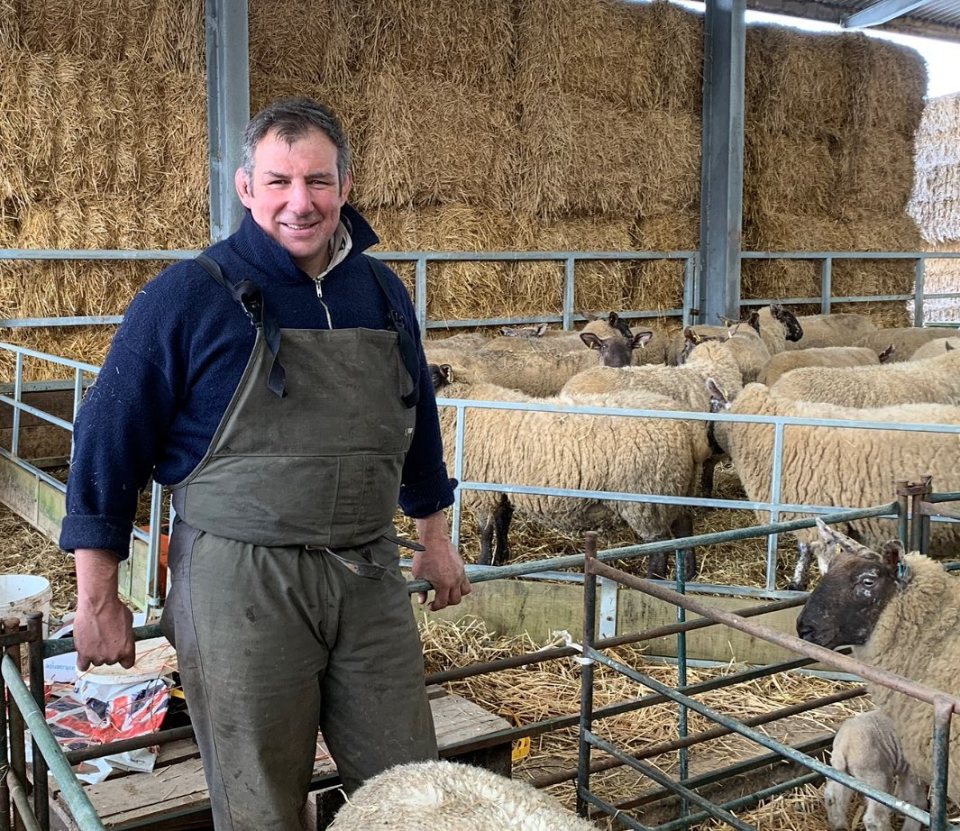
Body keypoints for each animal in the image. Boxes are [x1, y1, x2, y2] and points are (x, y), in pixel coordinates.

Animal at [704, 384, 960, 592]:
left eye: (712, 407)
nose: (707, 445)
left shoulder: (820, 513)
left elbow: (822, 561)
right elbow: (805, 549)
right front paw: (797, 582)